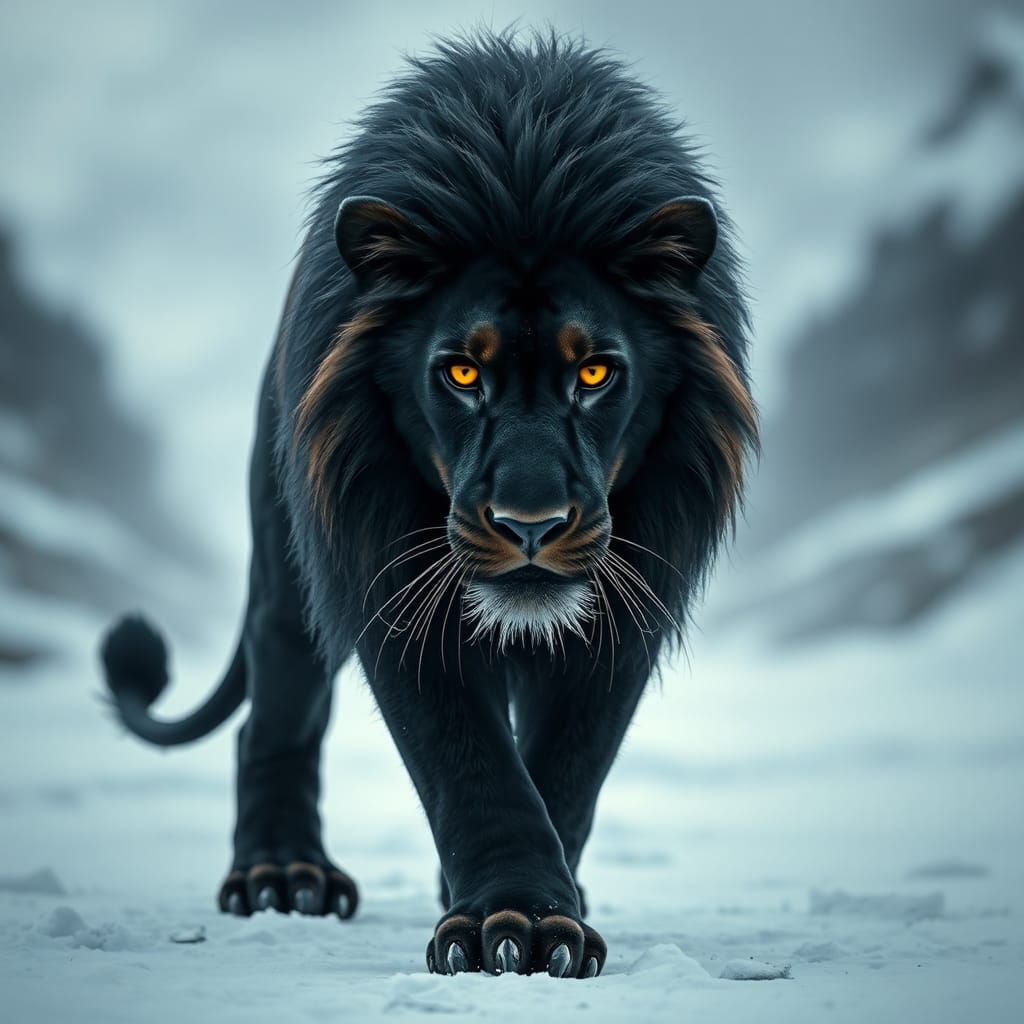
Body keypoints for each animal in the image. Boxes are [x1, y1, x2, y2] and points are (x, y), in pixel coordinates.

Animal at [100, 30, 758, 978]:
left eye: (596, 372)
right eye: (463, 372)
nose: (530, 523)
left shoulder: (626, 613)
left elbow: (566, 771)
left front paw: (541, 912)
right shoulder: (387, 578)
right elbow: (471, 764)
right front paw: (513, 923)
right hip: (289, 571)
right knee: (275, 713)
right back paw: (281, 876)